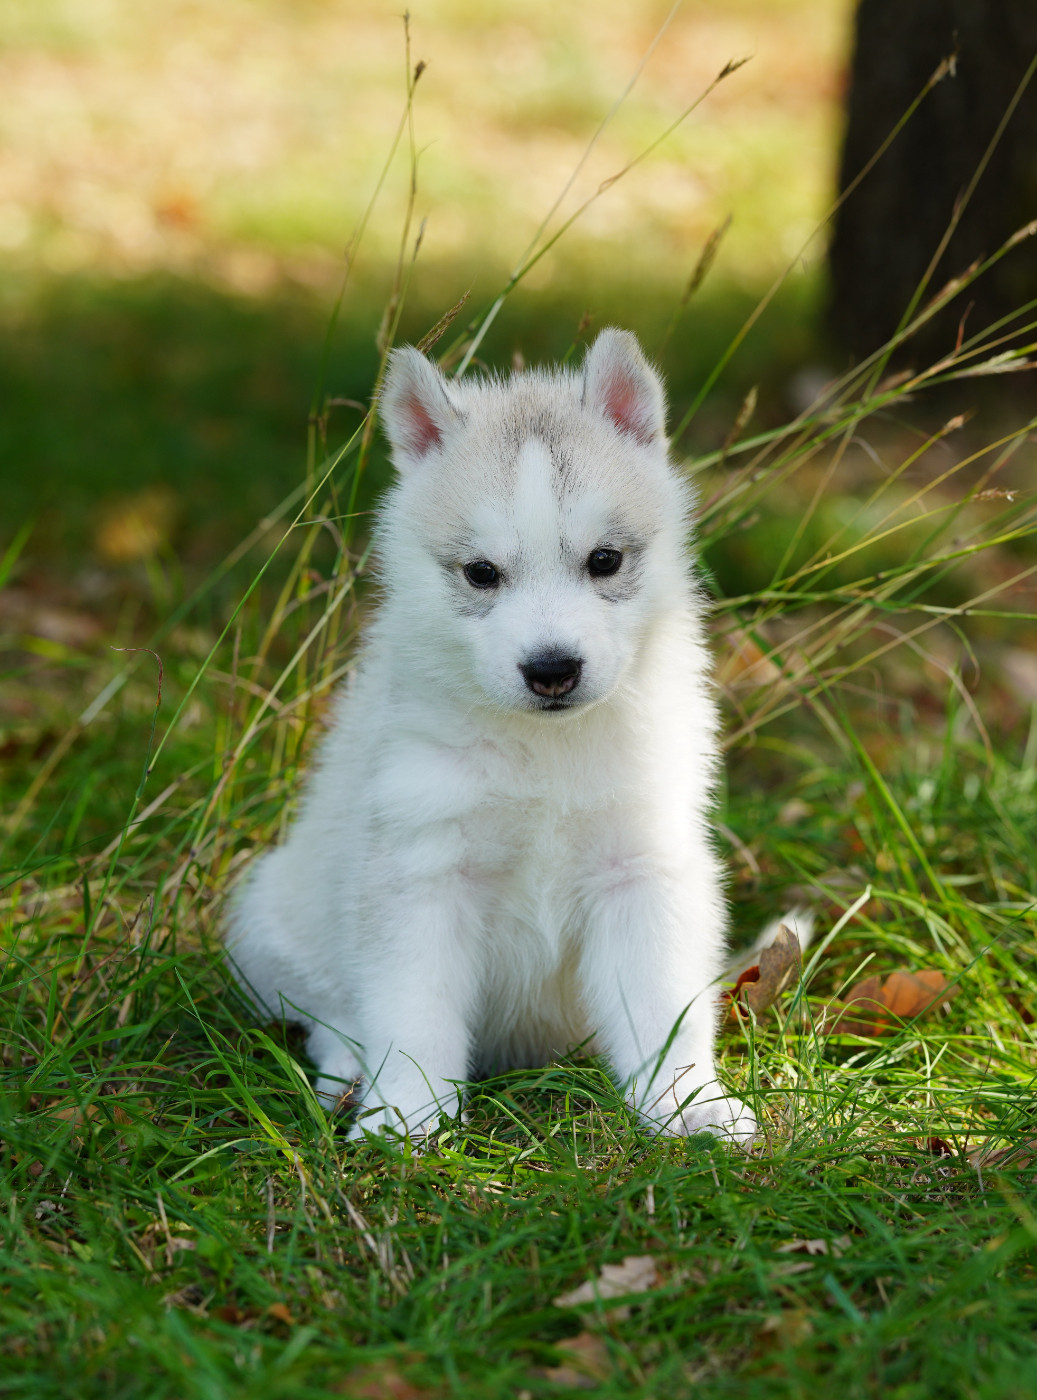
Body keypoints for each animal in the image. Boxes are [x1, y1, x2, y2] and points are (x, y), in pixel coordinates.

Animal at [227, 328, 758, 1144]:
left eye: (604, 560)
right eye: (481, 574)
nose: (552, 670)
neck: (543, 753)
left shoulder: (639, 872)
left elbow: (661, 1008)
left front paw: (685, 1104)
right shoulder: (424, 873)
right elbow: (413, 1016)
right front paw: (406, 1116)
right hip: (268, 922)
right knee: (326, 1016)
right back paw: (348, 1073)